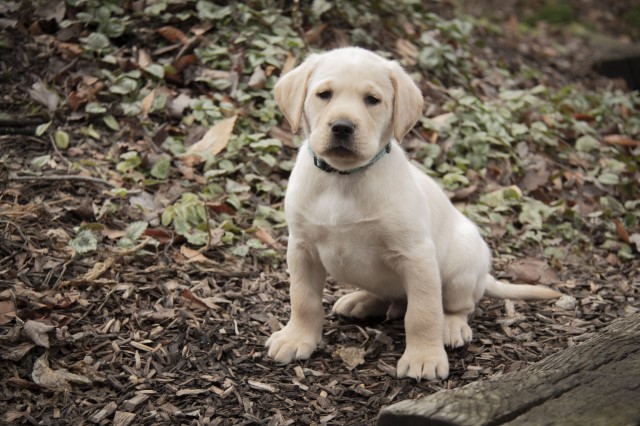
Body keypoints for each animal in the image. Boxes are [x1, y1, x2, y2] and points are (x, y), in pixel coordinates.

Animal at [264, 46, 560, 380]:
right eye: (324, 94)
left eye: (372, 100)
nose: (342, 126)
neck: (343, 178)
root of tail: (484, 276)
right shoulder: (301, 248)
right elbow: (303, 299)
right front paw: (296, 338)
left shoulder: (416, 256)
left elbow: (423, 313)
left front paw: (424, 358)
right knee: (390, 295)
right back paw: (361, 300)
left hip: (462, 266)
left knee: (458, 306)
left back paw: (452, 326)